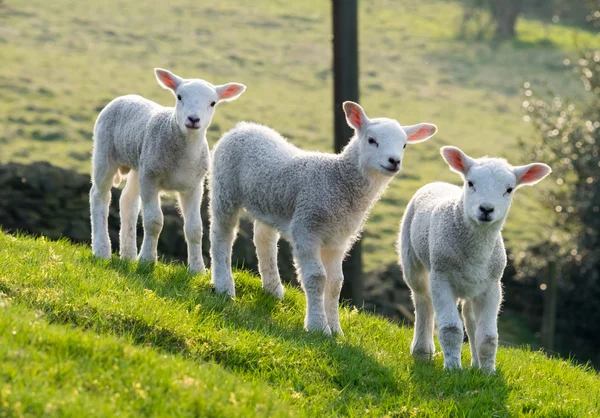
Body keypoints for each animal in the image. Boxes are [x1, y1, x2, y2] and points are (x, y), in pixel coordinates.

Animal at [88, 68, 246, 272]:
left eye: (212, 103)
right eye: (179, 97)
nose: (193, 119)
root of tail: (124, 97)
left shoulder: (193, 186)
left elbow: (195, 228)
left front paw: (197, 269)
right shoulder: (151, 178)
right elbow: (154, 221)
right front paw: (147, 260)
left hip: (140, 165)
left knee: (128, 200)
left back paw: (128, 255)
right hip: (105, 152)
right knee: (99, 196)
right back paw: (102, 250)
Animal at [210, 102, 436, 336]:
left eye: (404, 145)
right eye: (371, 140)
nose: (394, 161)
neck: (337, 180)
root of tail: (243, 127)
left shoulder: (338, 240)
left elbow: (336, 283)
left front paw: (336, 330)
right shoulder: (306, 227)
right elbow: (317, 278)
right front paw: (318, 327)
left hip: (267, 201)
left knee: (264, 239)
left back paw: (273, 289)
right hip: (224, 187)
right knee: (222, 234)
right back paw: (224, 286)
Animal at [396, 147, 552, 372]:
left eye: (509, 189)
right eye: (470, 183)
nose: (486, 209)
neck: (476, 251)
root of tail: (438, 183)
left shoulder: (492, 286)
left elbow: (488, 336)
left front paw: (487, 372)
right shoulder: (441, 277)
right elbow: (451, 328)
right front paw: (453, 368)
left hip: (472, 284)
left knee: (469, 316)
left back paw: (476, 363)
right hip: (412, 259)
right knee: (423, 301)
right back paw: (422, 351)